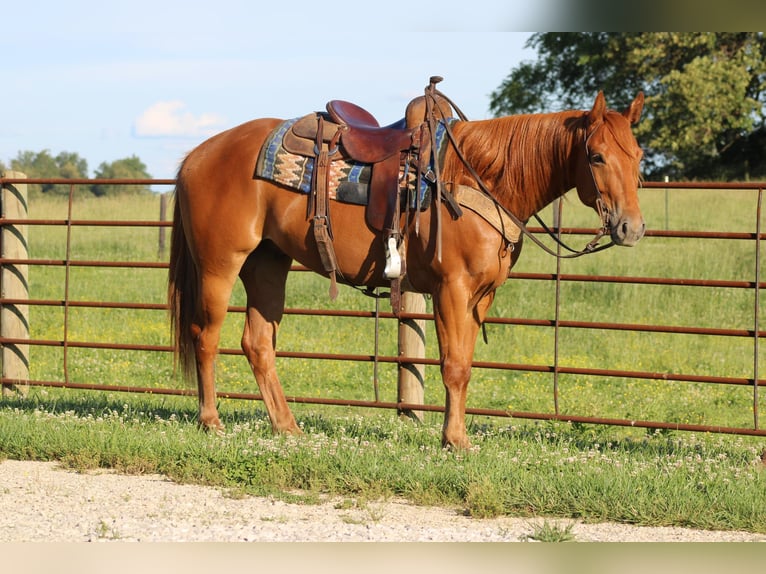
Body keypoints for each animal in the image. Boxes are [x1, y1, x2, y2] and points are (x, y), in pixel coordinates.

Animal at [170, 88, 648, 452]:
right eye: (597, 156)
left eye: (639, 155)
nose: (632, 228)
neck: (479, 179)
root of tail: (197, 154)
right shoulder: (451, 290)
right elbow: (453, 366)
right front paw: (455, 441)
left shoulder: (481, 297)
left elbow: (466, 364)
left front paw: (456, 436)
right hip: (220, 265)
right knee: (206, 337)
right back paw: (211, 421)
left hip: (267, 264)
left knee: (258, 344)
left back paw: (287, 427)